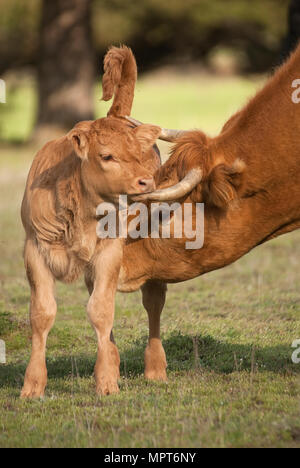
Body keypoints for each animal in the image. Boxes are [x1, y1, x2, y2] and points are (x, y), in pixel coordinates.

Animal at [20, 46, 163, 398]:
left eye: (138, 153)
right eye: (107, 156)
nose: (145, 181)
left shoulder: (110, 253)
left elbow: (100, 311)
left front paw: (106, 382)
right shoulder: (34, 251)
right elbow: (42, 313)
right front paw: (32, 385)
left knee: (153, 302)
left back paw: (155, 369)